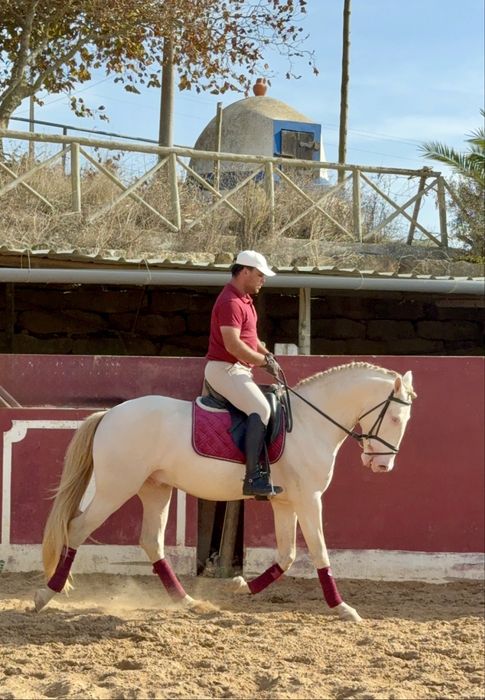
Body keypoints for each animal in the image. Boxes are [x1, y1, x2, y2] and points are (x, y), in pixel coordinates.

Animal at [34, 362, 416, 622]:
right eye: (396, 418)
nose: (382, 466)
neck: (310, 423)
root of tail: (110, 413)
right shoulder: (310, 500)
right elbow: (319, 553)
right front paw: (343, 608)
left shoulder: (286, 503)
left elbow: (287, 555)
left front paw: (240, 585)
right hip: (116, 488)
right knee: (76, 530)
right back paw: (46, 593)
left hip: (155, 489)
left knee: (151, 541)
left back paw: (187, 601)